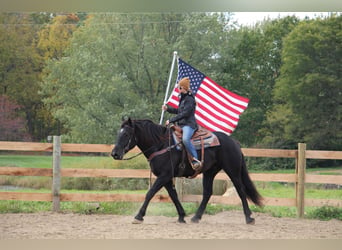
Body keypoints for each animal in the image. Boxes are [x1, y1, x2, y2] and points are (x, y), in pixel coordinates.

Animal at [111, 117, 264, 225]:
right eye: (118, 133)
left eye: (126, 134)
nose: (114, 153)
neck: (161, 145)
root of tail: (234, 142)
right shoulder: (167, 177)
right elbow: (174, 196)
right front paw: (181, 216)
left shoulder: (164, 176)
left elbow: (150, 193)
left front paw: (139, 216)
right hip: (209, 172)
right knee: (207, 193)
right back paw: (196, 217)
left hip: (233, 170)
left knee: (241, 190)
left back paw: (249, 218)